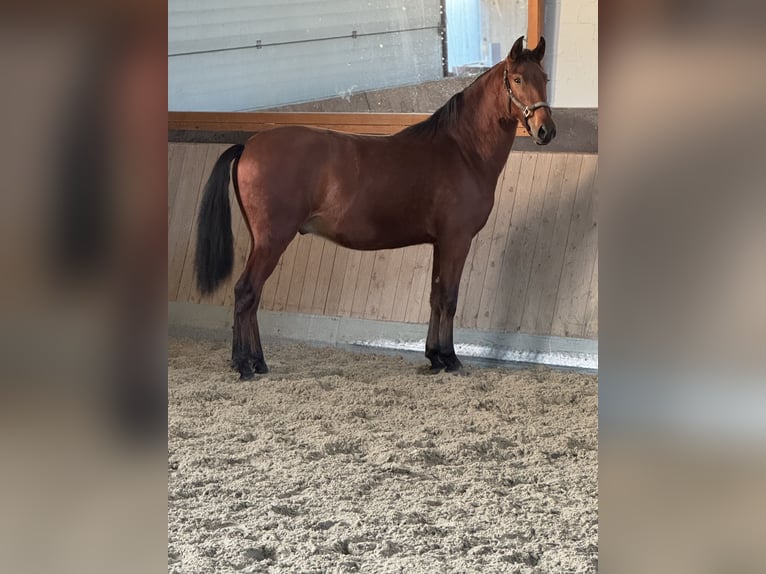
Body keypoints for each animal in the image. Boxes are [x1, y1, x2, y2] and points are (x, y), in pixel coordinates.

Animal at [194, 36, 555, 380]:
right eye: (518, 79)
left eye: (545, 78)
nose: (546, 130)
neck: (462, 150)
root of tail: (249, 145)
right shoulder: (457, 240)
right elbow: (449, 299)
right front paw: (451, 359)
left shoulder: (440, 243)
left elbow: (435, 297)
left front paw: (435, 357)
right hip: (272, 241)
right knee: (246, 293)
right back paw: (245, 365)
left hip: (263, 241)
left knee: (252, 297)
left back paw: (256, 362)